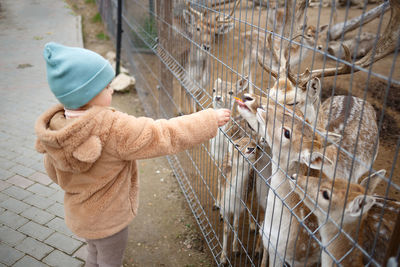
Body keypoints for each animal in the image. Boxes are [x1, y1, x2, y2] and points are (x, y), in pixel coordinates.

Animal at [217, 137, 258, 266]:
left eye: (256, 144)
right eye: (237, 145)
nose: (251, 148)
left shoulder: (239, 208)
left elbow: (235, 226)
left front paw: (236, 250)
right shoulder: (226, 208)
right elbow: (226, 230)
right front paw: (223, 258)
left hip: (252, 189)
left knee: (250, 204)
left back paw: (253, 226)